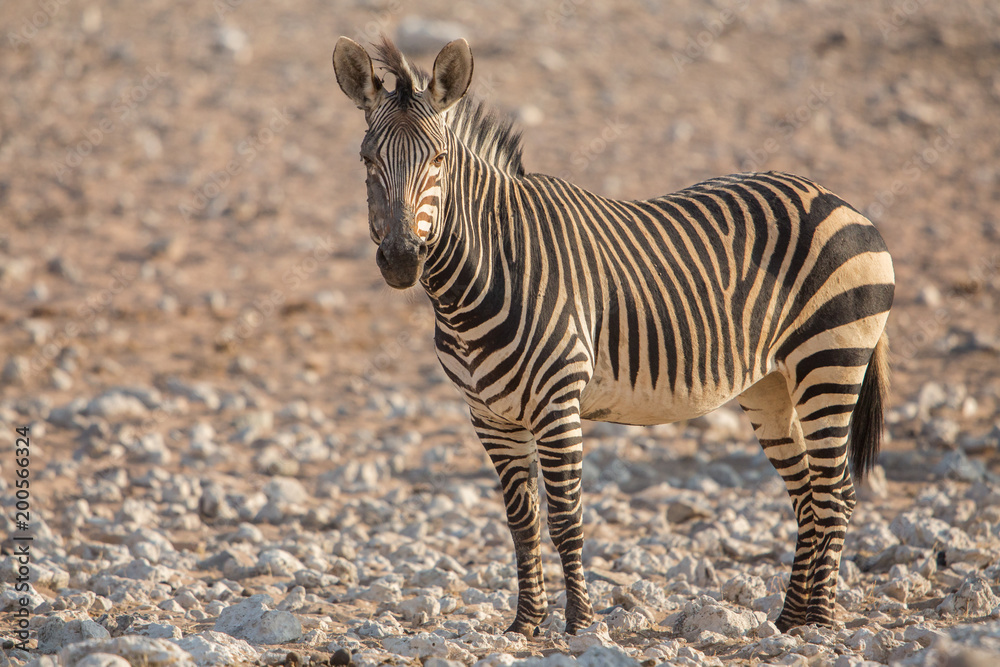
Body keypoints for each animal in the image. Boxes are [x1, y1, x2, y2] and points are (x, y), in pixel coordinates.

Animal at [332, 36, 894, 636]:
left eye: (438, 160)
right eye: (367, 159)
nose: (400, 261)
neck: (483, 276)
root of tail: (837, 198)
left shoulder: (556, 404)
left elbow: (565, 519)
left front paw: (579, 624)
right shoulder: (489, 416)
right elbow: (521, 522)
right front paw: (525, 623)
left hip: (831, 358)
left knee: (835, 493)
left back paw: (822, 622)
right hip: (770, 384)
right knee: (808, 495)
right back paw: (789, 620)